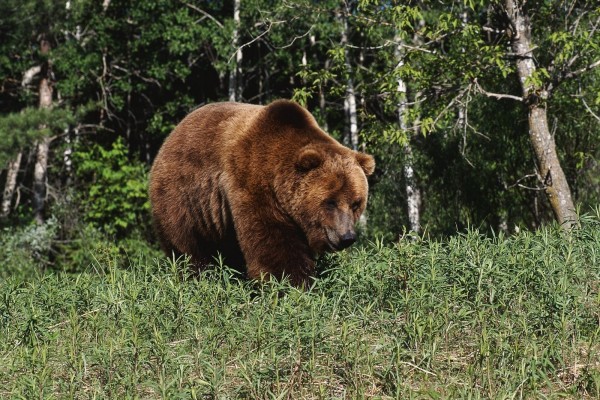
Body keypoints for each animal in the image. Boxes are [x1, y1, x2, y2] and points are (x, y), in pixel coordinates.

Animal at [149, 100, 376, 288]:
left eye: (356, 203)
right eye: (330, 202)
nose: (347, 237)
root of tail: (171, 136)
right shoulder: (252, 183)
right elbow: (273, 243)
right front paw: (291, 284)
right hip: (184, 198)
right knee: (188, 246)